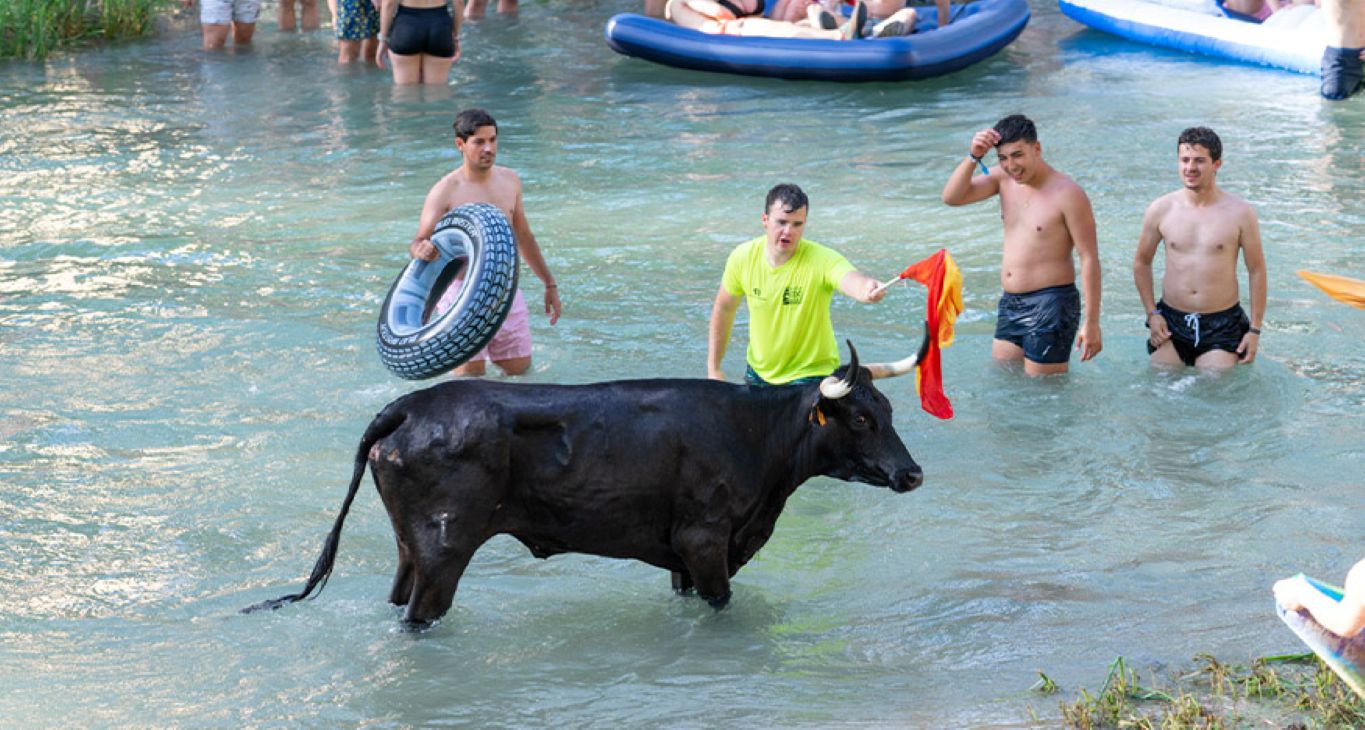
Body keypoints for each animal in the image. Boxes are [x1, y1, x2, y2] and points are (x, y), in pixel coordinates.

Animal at [245, 335, 929, 627]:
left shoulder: (681, 553)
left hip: (409, 547)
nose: (912, 472)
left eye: (890, 410)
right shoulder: (706, 541)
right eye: (861, 417)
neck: (753, 433)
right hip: (444, 548)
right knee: (421, 615)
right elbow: (721, 603)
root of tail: (411, 405)